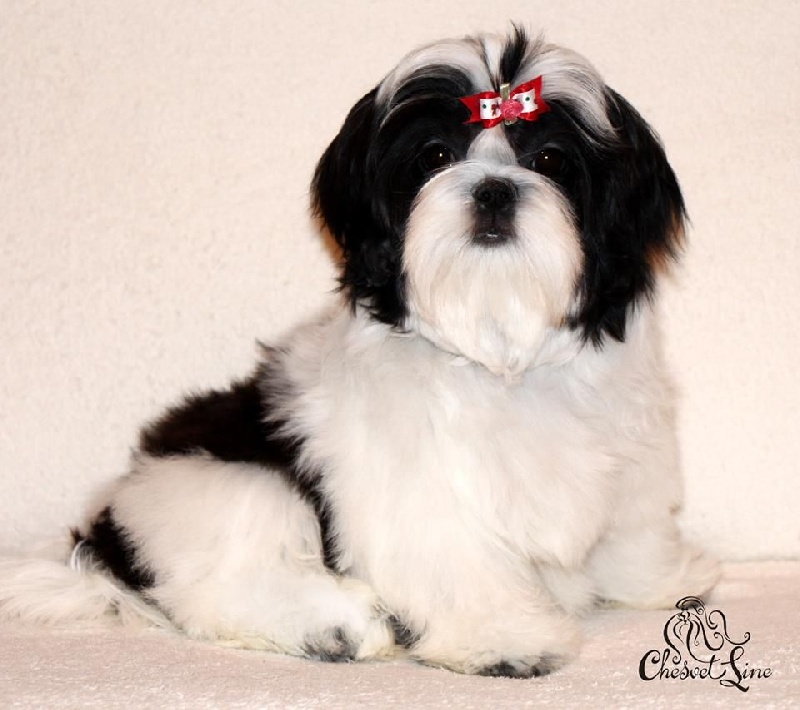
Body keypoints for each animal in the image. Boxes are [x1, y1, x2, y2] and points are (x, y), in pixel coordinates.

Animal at [0, 27, 719, 678]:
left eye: (550, 161)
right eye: (434, 155)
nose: (493, 189)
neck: (497, 343)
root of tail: (103, 542)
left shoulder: (632, 455)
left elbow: (633, 527)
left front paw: (663, 579)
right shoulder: (417, 489)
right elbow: (458, 561)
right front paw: (505, 639)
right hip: (227, 480)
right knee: (221, 581)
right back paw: (334, 626)